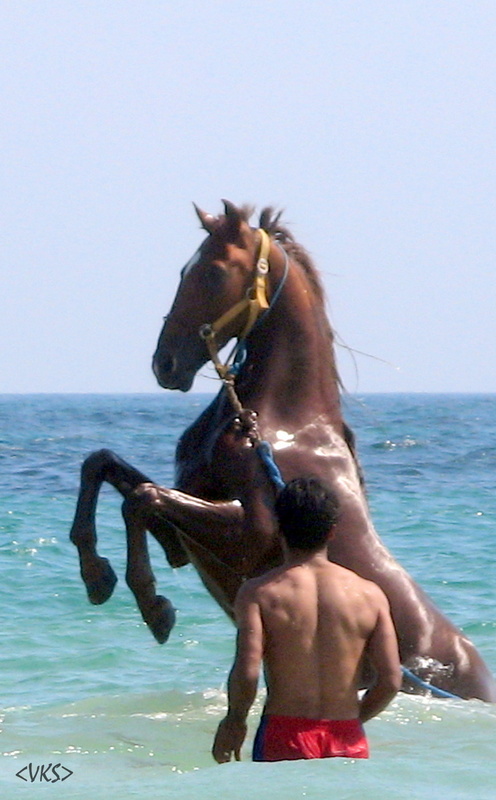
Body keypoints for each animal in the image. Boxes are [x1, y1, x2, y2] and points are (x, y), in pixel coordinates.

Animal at [70, 198, 496, 700]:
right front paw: (97, 574)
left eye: (213, 272)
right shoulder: (185, 530)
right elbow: (102, 465)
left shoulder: (250, 538)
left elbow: (142, 498)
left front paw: (153, 605)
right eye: (183, 270)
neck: (274, 423)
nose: (165, 364)